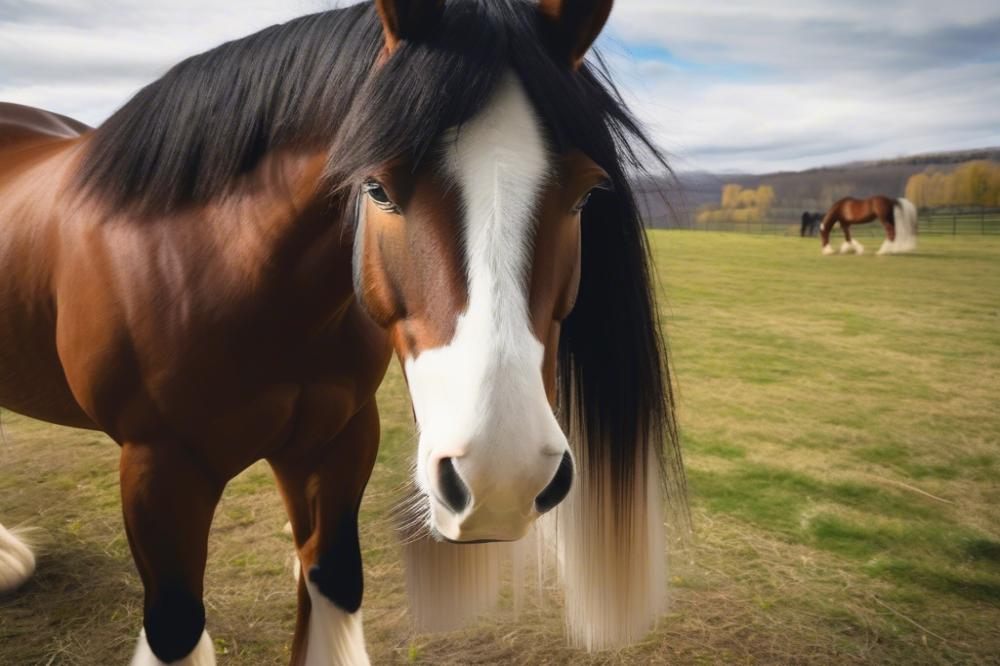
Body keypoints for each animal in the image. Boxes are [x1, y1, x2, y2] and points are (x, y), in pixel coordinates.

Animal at [0, 1, 688, 664]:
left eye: (585, 194)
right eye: (376, 188)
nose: (502, 478)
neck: (225, 271)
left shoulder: (335, 441)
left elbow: (331, 580)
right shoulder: (158, 469)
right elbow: (177, 626)